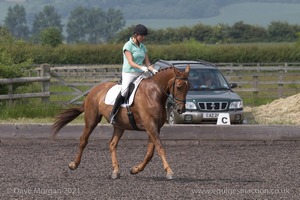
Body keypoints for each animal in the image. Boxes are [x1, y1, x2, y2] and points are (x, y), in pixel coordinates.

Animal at [52, 65, 190, 180]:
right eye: (178, 86)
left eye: (188, 87)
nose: (181, 110)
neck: (154, 93)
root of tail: (93, 90)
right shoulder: (150, 126)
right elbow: (160, 148)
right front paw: (169, 172)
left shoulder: (155, 127)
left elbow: (150, 152)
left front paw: (135, 169)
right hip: (91, 119)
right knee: (83, 140)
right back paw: (73, 165)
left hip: (120, 126)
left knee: (112, 144)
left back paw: (115, 171)